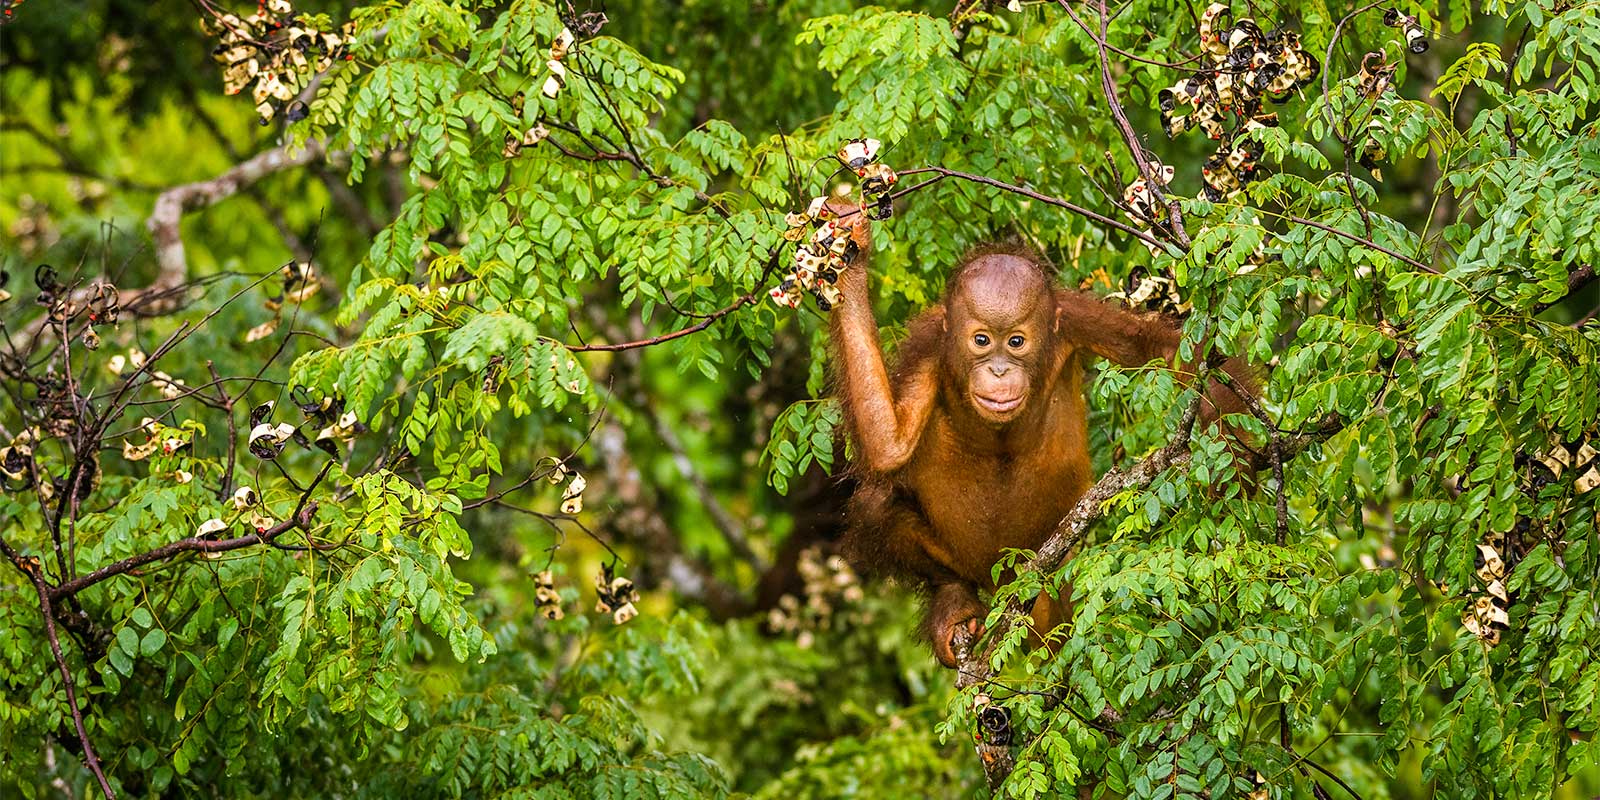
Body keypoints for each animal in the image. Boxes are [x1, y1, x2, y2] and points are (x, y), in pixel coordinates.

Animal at [825, 206, 1257, 668]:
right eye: (981, 340)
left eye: (1016, 341)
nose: (999, 370)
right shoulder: (929, 345)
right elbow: (889, 444)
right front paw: (850, 257)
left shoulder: (1074, 318)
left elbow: (1166, 348)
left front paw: (1234, 467)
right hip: (968, 564)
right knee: (874, 504)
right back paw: (954, 601)